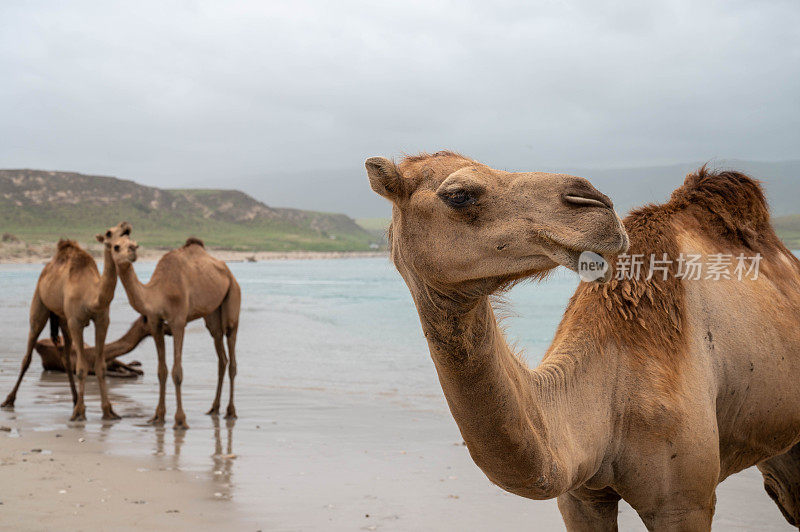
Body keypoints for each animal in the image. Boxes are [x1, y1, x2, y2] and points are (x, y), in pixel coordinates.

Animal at [1, 221, 133, 420]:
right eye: (109, 233)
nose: (125, 225)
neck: (91, 297)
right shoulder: (76, 322)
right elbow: (82, 367)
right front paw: (80, 413)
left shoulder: (102, 321)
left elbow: (100, 366)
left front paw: (108, 411)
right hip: (40, 306)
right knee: (27, 355)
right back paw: (9, 400)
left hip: (63, 320)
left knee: (66, 357)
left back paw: (75, 399)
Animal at [105, 233, 241, 428]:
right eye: (116, 246)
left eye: (134, 245)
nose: (131, 253)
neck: (158, 292)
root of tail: (228, 273)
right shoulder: (155, 323)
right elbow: (161, 371)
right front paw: (157, 417)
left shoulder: (178, 322)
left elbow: (177, 371)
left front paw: (180, 420)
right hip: (212, 313)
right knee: (221, 354)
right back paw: (214, 409)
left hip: (233, 295)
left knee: (232, 350)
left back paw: (231, 412)